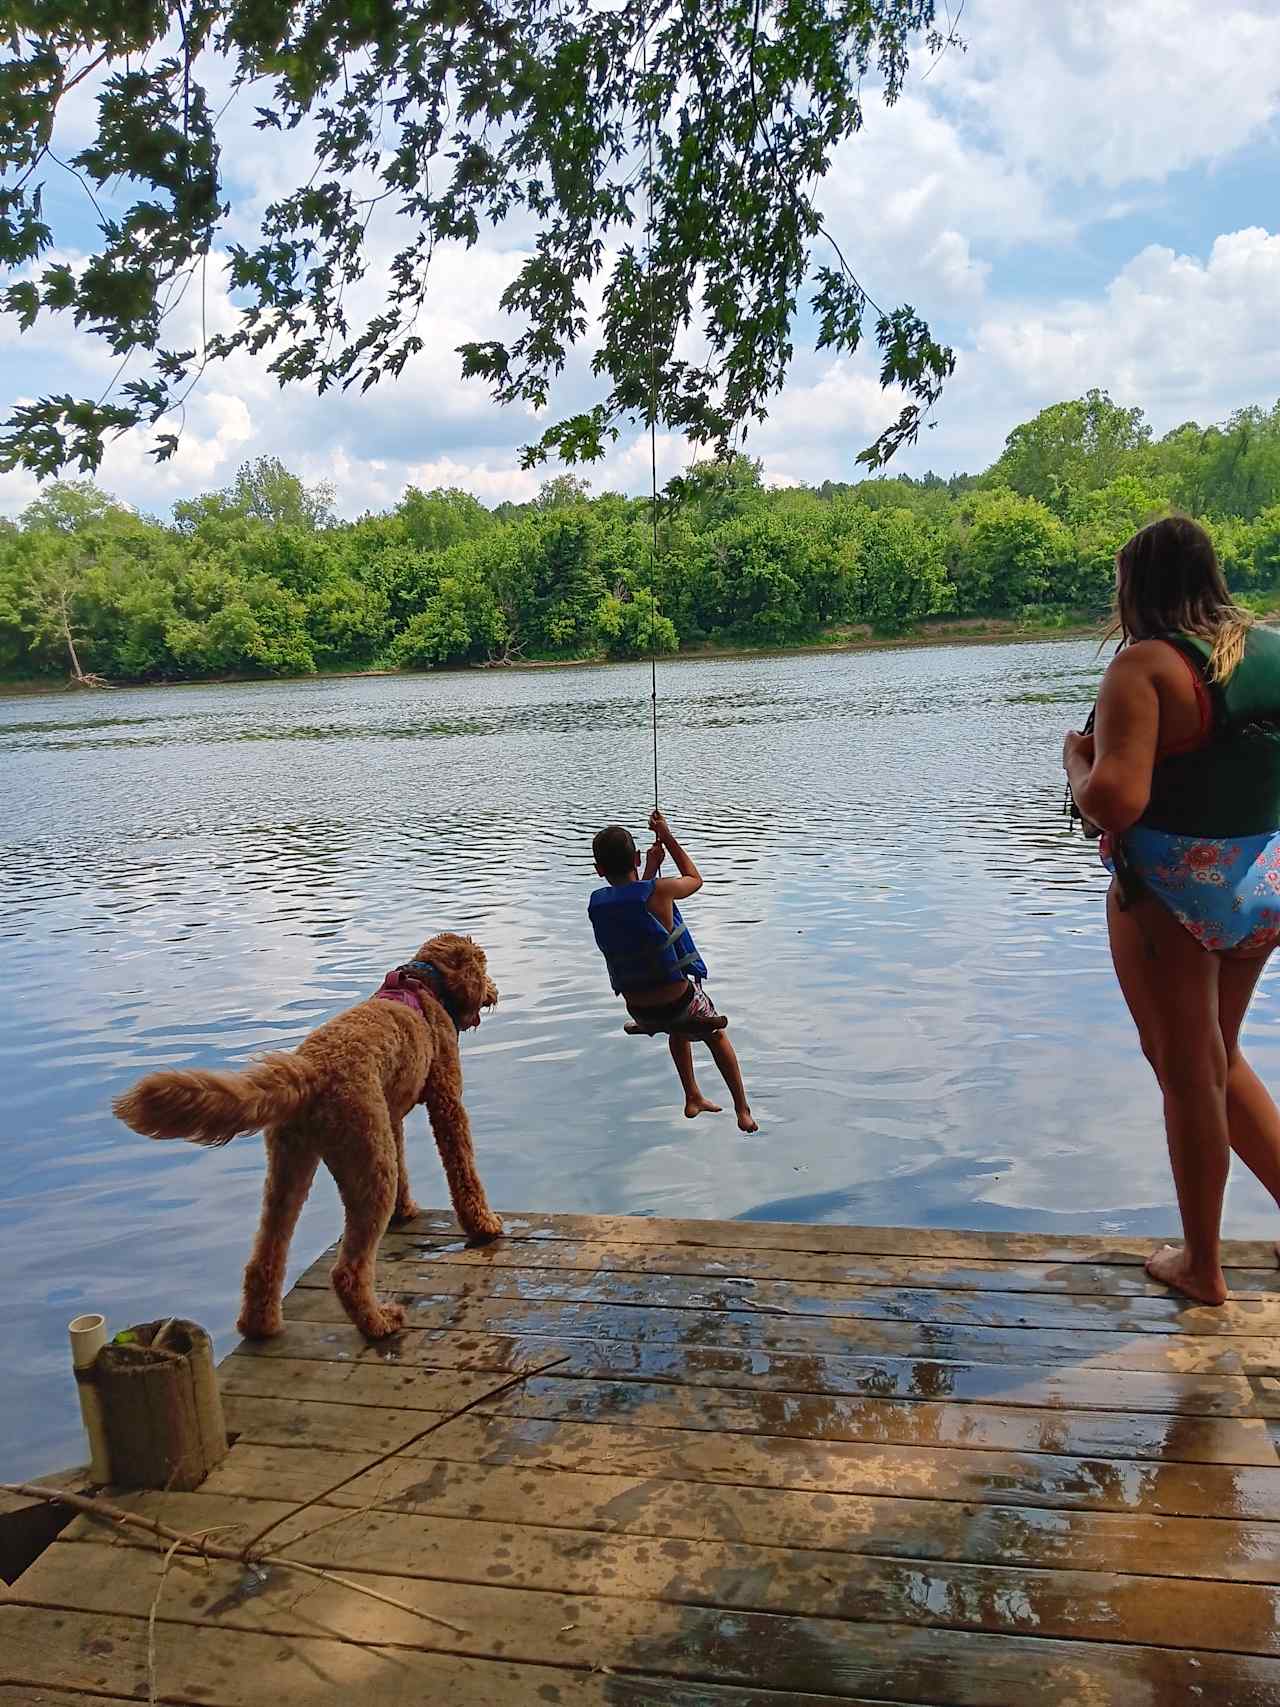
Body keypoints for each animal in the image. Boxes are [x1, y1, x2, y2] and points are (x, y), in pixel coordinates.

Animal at [111, 935, 501, 1345]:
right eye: (484, 966)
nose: (495, 991)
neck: (426, 985)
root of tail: (309, 1073)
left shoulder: (391, 1116)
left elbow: (405, 1164)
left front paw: (405, 1209)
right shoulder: (445, 1098)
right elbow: (463, 1168)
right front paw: (484, 1224)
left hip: (290, 1166)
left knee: (265, 1256)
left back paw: (260, 1324)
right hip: (369, 1162)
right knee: (347, 1271)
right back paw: (378, 1323)